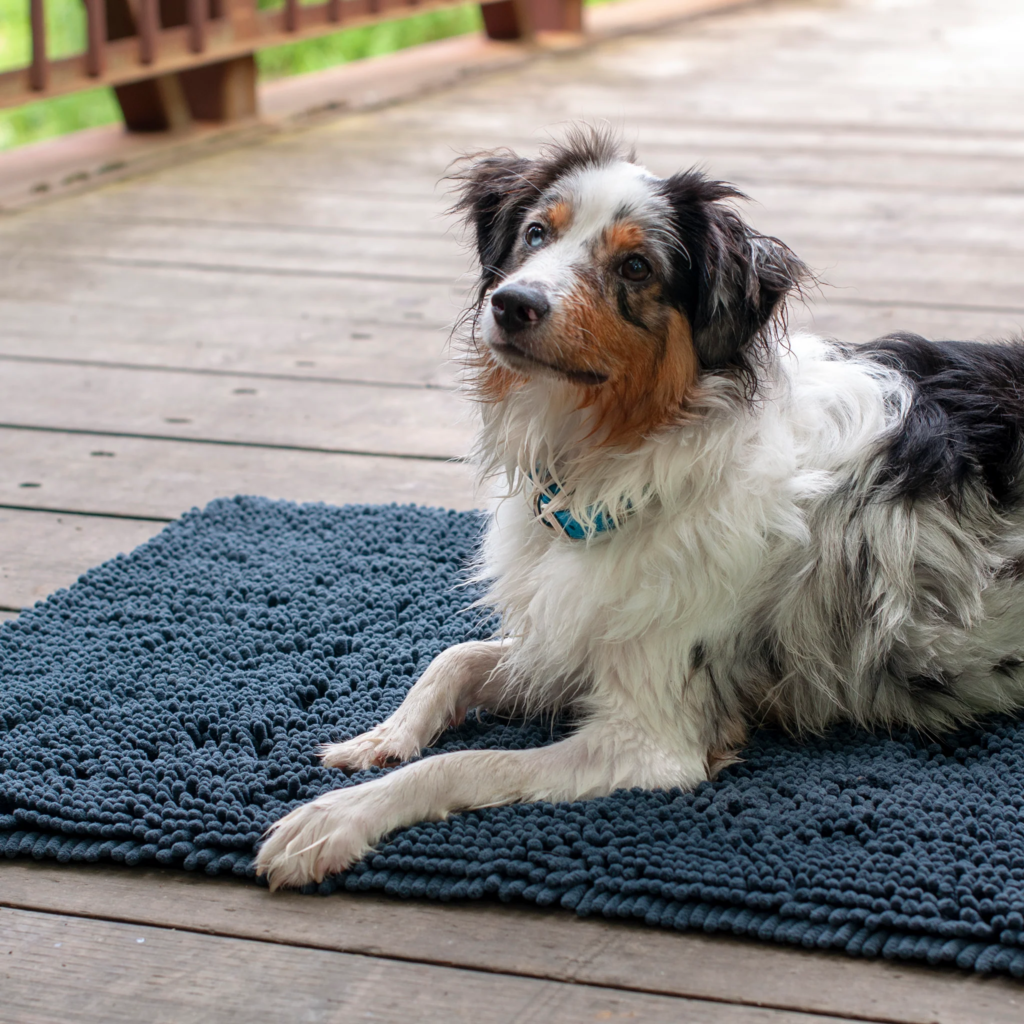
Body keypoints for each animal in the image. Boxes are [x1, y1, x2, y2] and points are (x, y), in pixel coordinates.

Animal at [253, 128, 1024, 892]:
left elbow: (466, 763)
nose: (512, 302)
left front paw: (336, 818)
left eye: (635, 266)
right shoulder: (566, 637)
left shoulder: (650, 737)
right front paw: (381, 737)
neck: (612, 465)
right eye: (536, 233)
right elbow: (456, 658)